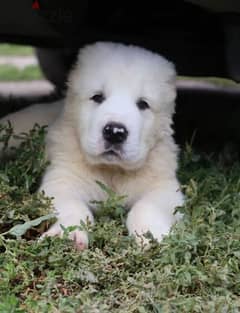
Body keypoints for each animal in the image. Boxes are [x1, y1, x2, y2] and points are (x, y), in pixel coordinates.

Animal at [0, 42, 184, 249]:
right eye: (97, 97)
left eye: (143, 104)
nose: (115, 132)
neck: (112, 171)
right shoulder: (63, 180)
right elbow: (73, 206)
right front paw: (69, 235)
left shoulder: (164, 187)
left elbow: (147, 207)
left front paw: (153, 235)